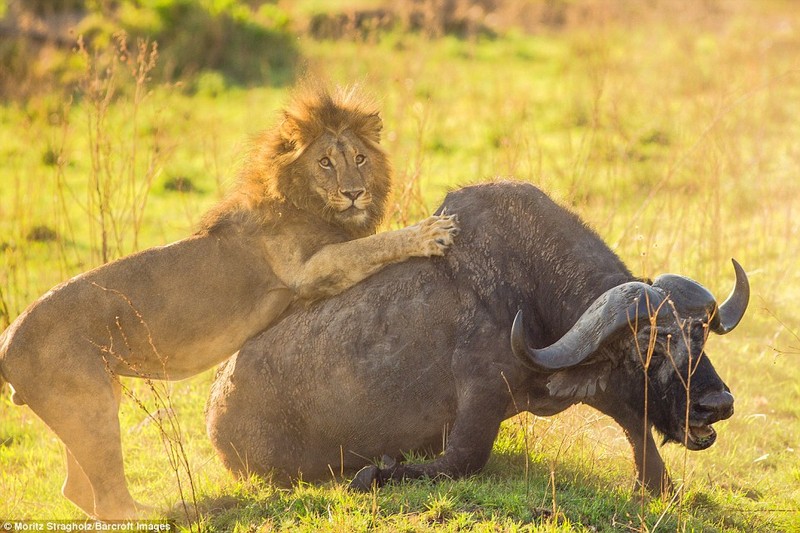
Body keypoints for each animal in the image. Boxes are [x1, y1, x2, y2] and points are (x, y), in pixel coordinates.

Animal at [0, 84, 460, 520]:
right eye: (325, 162)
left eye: (360, 158)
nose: (353, 193)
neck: (309, 204)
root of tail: (6, 343)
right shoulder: (309, 270)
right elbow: (375, 244)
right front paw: (430, 232)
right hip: (88, 404)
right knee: (107, 498)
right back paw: (168, 513)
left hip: (94, 397)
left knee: (77, 489)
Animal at [206, 182, 752, 494]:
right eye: (650, 346)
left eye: (701, 335)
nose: (716, 404)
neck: (529, 296)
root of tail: (216, 412)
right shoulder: (480, 403)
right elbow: (461, 461)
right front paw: (378, 472)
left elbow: (648, 451)